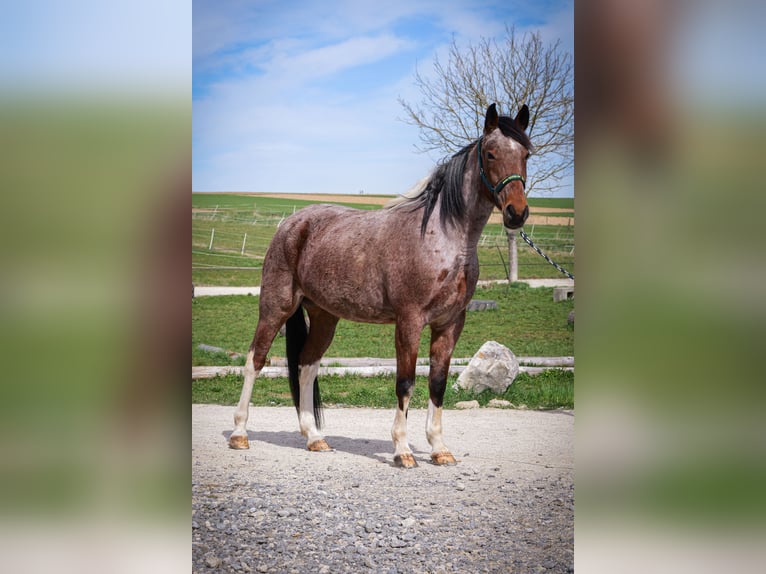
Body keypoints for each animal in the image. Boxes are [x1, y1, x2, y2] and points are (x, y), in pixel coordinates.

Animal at [229, 103, 532, 468]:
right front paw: (402, 450)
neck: (443, 238)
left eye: (526, 154)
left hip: (325, 317)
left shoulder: (450, 323)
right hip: (276, 307)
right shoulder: (409, 321)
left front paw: (439, 448)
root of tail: (292, 223)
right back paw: (240, 434)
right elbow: (405, 382)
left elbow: (438, 383)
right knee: (255, 360)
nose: (517, 212)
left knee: (306, 366)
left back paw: (315, 438)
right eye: (490, 153)